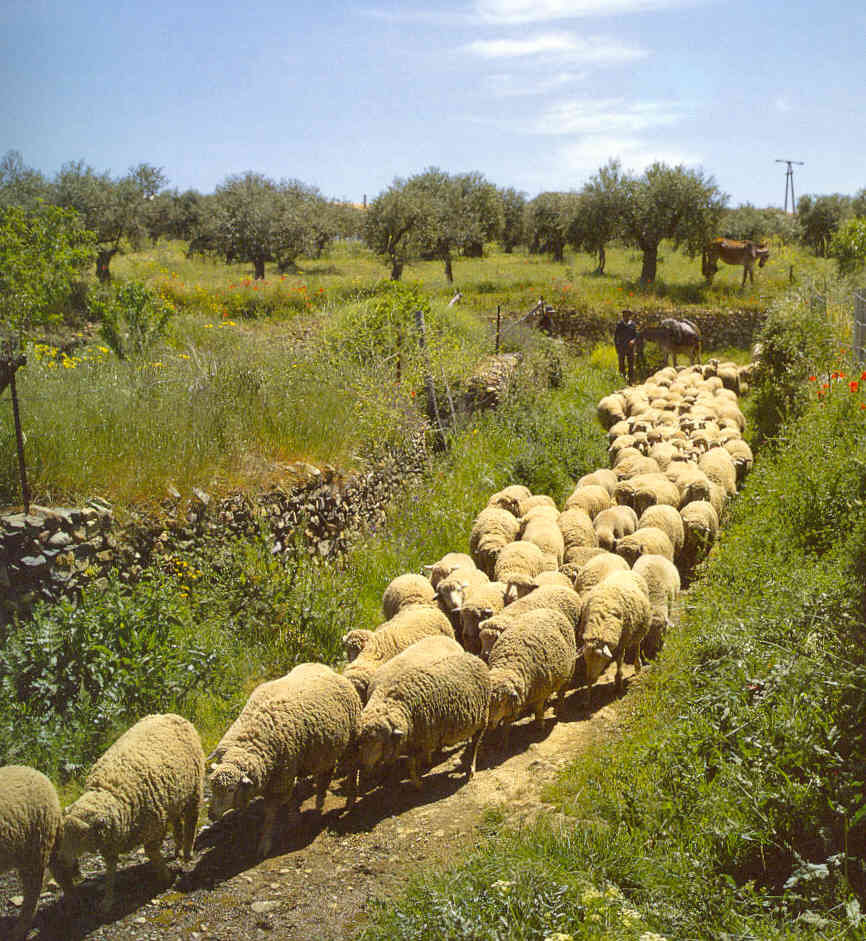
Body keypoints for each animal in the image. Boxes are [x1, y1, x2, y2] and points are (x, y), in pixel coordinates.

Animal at [54, 714, 204, 913]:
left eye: (82, 835)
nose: (61, 860)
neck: (111, 792)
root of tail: (170, 715)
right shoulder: (110, 842)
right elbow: (110, 871)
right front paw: (107, 901)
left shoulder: (153, 828)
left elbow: (152, 852)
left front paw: (164, 876)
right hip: (175, 795)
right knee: (177, 821)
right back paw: (178, 849)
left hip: (195, 789)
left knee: (191, 820)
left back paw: (187, 852)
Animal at [208, 664, 360, 858]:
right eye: (212, 788)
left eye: (230, 790)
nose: (211, 815)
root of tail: (332, 671)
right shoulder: (282, 775)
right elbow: (290, 799)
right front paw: (293, 817)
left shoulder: (283, 777)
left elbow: (271, 814)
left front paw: (265, 843)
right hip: (326, 748)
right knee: (325, 775)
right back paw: (319, 803)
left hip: (352, 737)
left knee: (352, 767)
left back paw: (349, 799)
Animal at [350, 637, 490, 800]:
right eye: (361, 742)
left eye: (378, 742)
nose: (361, 765)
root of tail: (474, 657)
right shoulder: (413, 740)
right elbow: (410, 764)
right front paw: (416, 781)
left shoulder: (422, 738)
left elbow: (412, 764)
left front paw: (419, 781)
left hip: (482, 718)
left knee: (475, 744)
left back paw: (471, 769)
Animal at [487, 610, 577, 746]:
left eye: (501, 702)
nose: (489, 724)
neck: (508, 665)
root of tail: (550, 610)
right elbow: (507, 723)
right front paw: (503, 740)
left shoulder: (539, 693)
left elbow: (538, 710)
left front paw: (539, 726)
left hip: (569, 671)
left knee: (561, 693)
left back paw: (559, 710)